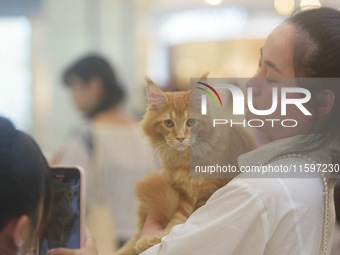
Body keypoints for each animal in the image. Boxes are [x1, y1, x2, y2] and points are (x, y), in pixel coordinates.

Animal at [114, 76, 255, 254]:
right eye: (169, 123)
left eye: (191, 122)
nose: (180, 138)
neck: (185, 161)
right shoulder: (183, 193)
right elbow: (173, 221)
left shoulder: (203, 195)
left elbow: (175, 228)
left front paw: (152, 240)